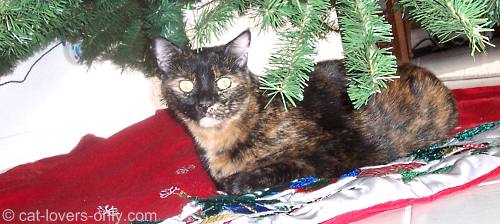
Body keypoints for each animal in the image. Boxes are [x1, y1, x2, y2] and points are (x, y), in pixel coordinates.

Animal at [152, 29, 458, 194]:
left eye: (223, 82)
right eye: (186, 85)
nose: (204, 103)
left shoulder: (327, 152)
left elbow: (271, 169)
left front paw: (239, 181)